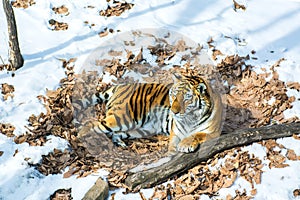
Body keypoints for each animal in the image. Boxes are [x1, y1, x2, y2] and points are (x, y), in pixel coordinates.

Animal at [77, 73, 223, 153]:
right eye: (174, 95)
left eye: (187, 98)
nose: (173, 112)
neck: (191, 117)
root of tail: (121, 86)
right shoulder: (175, 132)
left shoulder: (214, 132)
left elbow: (197, 134)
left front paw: (185, 144)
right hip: (124, 118)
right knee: (90, 125)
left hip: (140, 129)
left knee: (114, 133)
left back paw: (120, 144)